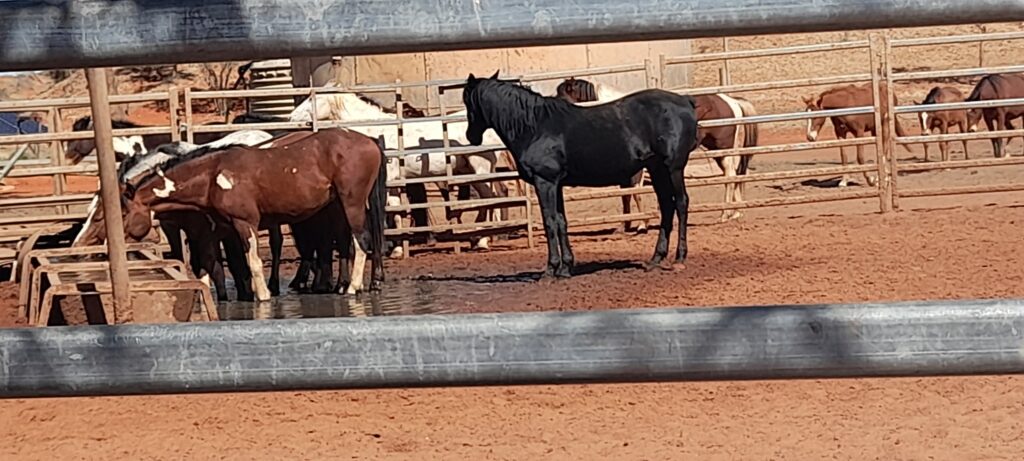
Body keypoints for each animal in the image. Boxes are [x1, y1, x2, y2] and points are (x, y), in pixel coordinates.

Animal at [113, 128, 386, 302]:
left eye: (124, 212)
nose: (110, 242)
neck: (213, 175)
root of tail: (369, 140)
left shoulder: (244, 224)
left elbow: (250, 261)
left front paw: (262, 295)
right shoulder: (216, 231)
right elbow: (212, 264)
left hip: (351, 204)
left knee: (359, 241)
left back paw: (351, 287)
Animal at [463, 71, 698, 277]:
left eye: (467, 100)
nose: (471, 137)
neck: (534, 127)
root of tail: (685, 101)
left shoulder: (545, 182)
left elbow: (550, 222)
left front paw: (550, 270)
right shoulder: (556, 184)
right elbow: (561, 221)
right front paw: (566, 267)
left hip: (673, 168)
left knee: (681, 203)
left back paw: (679, 258)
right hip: (657, 169)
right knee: (667, 206)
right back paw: (656, 259)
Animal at [555, 77, 759, 224]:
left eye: (562, 97)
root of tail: (731, 101)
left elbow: (635, 192)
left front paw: (641, 224)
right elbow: (626, 195)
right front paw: (627, 223)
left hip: (723, 149)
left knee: (730, 177)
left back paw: (725, 214)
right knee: (735, 176)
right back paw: (736, 212)